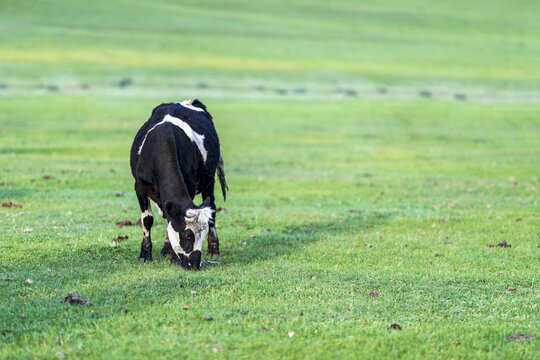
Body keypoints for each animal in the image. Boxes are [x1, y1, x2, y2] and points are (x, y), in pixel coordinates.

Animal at [131, 99, 228, 270]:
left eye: (202, 236)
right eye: (188, 235)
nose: (195, 265)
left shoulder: (190, 187)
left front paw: (173, 257)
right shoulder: (140, 187)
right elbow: (148, 220)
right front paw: (145, 255)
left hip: (209, 181)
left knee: (213, 208)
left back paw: (213, 249)